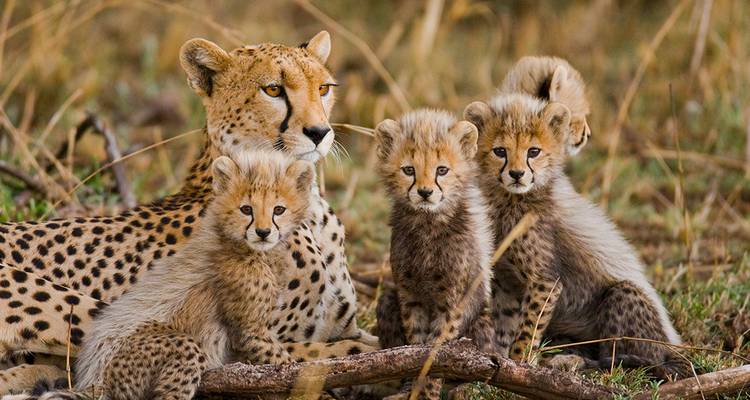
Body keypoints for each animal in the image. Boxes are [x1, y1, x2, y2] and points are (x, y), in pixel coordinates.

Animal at [0, 31, 376, 395]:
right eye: (273, 89)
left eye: (323, 88)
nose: (319, 132)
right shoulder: (253, 342)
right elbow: (347, 352)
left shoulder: (341, 326)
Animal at [373, 110, 497, 399]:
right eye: (409, 170)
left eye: (442, 170)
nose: (425, 192)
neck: (428, 224)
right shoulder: (410, 295)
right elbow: (416, 346)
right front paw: (413, 388)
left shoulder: (452, 301)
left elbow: (437, 350)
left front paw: (428, 391)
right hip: (387, 300)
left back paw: (465, 387)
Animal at [463, 93, 687, 379]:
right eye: (500, 151)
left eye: (533, 151)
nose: (516, 174)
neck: (511, 200)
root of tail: (674, 346)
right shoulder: (508, 281)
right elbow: (506, 323)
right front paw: (499, 361)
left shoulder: (546, 281)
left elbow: (528, 328)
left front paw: (520, 363)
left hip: (623, 298)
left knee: (622, 360)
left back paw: (571, 362)